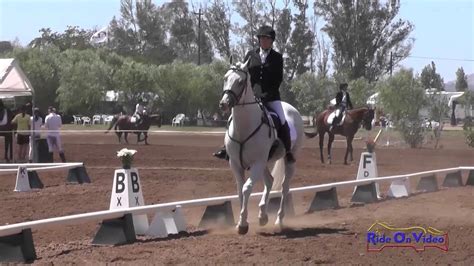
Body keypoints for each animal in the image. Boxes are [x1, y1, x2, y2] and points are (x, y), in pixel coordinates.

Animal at [218, 58, 304, 235]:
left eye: (240, 81)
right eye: (225, 78)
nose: (224, 104)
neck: (243, 128)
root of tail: (292, 108)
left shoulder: (257, 163)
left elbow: (246, 188)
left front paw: (243, 225)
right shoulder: (235, 164)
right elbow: (239, 191)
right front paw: (241, 222)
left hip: (288, 159)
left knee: (284, 187)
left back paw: (278, 221)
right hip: (264, 162)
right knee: (270, 181)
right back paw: (263, 216)